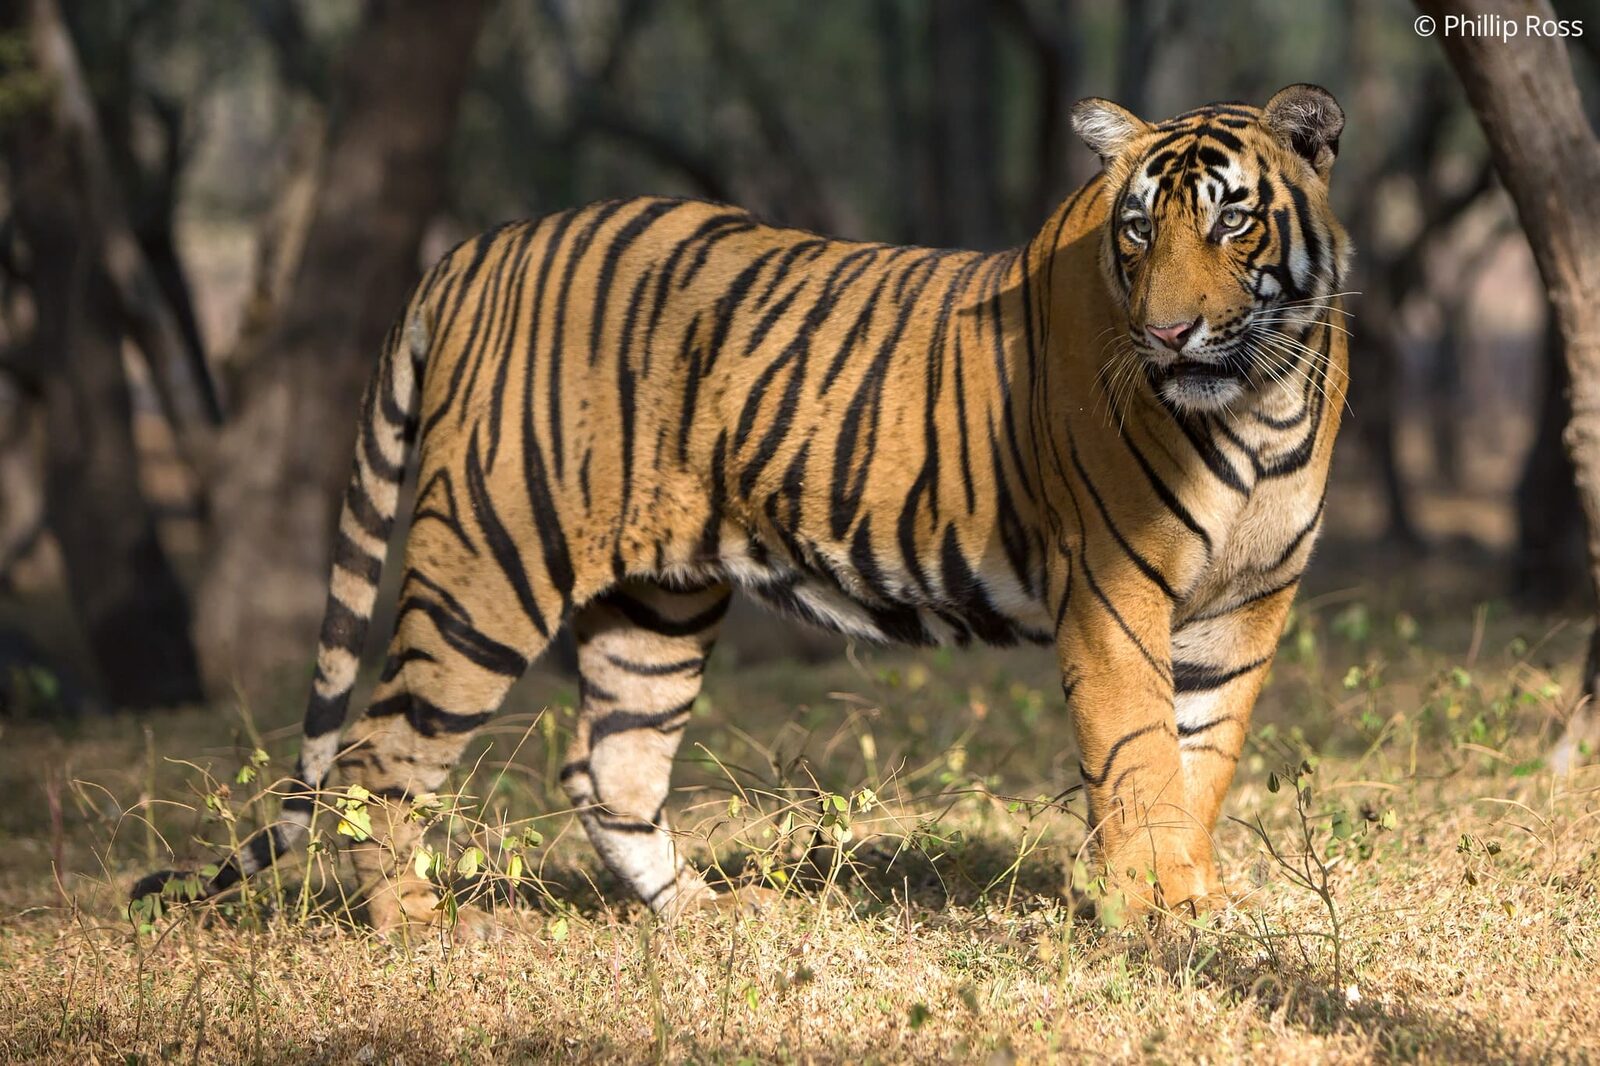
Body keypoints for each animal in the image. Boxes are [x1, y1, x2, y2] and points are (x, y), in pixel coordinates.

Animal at [135, 84, 1349, 930]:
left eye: (1231, 224)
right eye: (1138, 231)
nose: (1167, 335)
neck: (1262, 399)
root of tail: (479, 247)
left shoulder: (1245, 608)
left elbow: (1201, 760)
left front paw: (1195, 896)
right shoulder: (1107, 588)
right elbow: (1139, 759)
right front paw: (1159, 915)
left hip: (654, 602)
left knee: (608, 765)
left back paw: (707, 917)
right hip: (489, 568)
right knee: (378, 753)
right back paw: (421, 927)